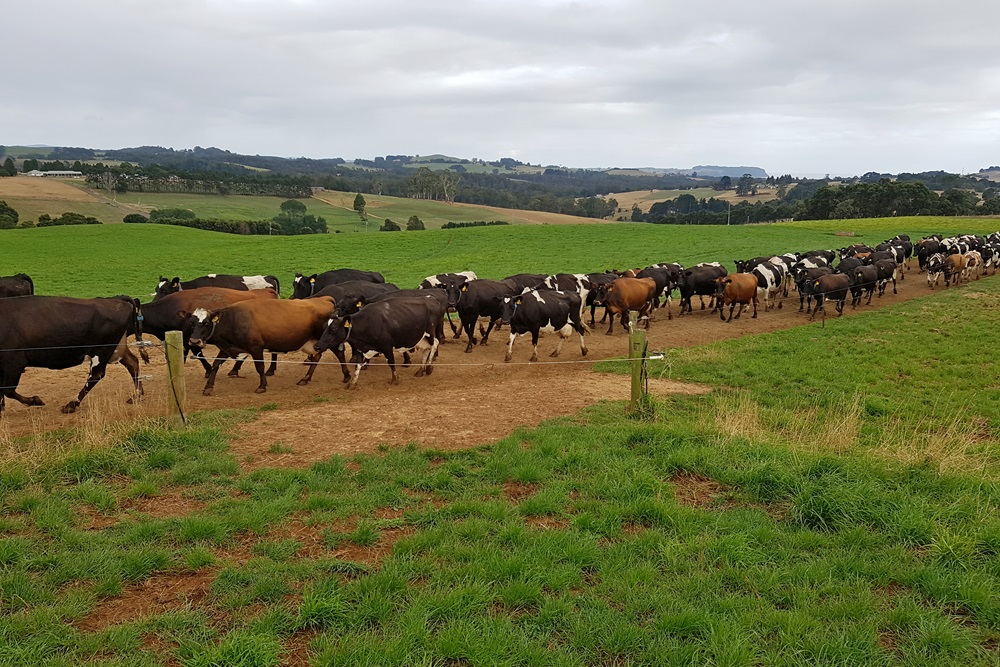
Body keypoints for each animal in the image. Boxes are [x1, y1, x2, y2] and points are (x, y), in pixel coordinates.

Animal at [0, 296, 145, 414]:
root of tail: (116, 299)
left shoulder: (15, 361)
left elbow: (7, 390)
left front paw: (35, 400)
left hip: (101, 350)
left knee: (96, 375)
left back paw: (71, 404)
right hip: (116, 348)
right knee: (132, 362)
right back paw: (136, 396)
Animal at [188, 294, 340, 394]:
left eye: (206, 323)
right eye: (192, 323)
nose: (194, 341)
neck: (234, 319)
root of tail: (324, 299)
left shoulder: (256, 348)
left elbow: (260, 367)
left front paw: (262, 386)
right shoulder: (228, 348)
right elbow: (215, 365)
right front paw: (208, 387)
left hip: (327, 340)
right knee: (316, 357)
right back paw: (306, 378)